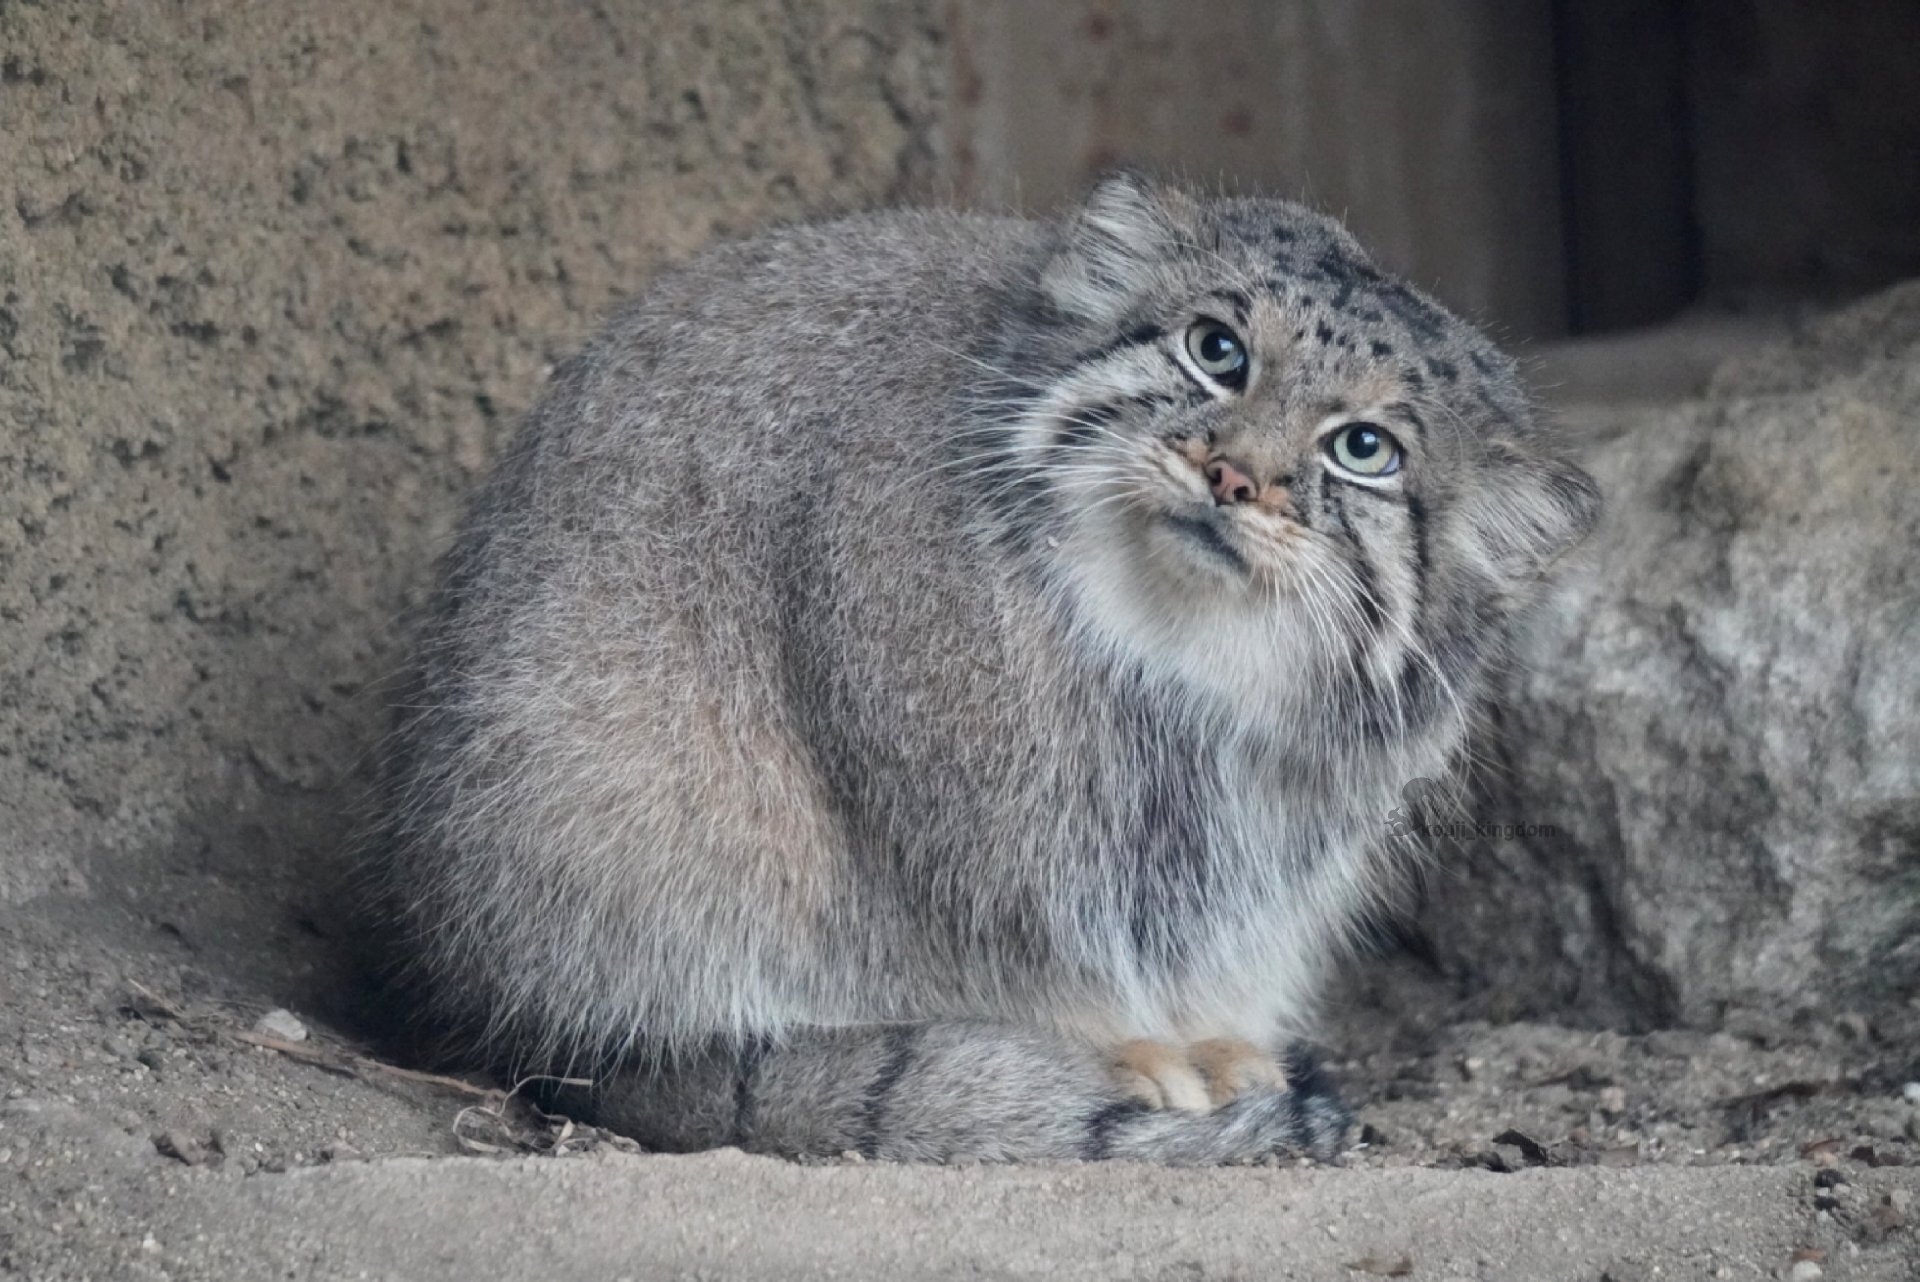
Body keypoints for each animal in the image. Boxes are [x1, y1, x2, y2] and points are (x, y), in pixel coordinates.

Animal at [370, 169, 1589, 1159]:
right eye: (1216, 350)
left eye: (1364, 450)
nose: (1234, 475)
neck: (1166, 658)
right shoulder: (961, 802)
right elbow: (1007, 938)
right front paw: (1119, 1052)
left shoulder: (1258, 828)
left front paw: (1208, 1034)